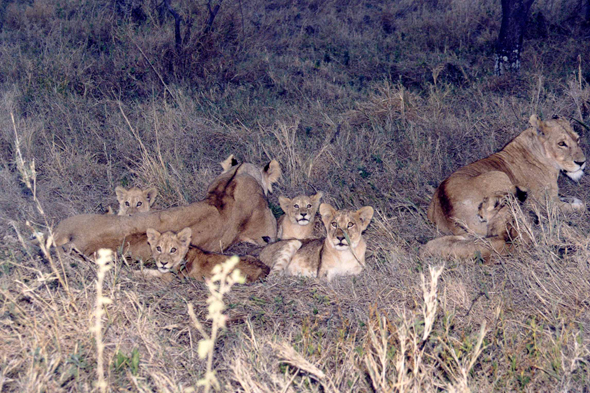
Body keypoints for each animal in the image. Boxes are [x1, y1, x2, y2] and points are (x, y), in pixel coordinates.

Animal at [135, 227, 270, 282]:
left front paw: (136, 273)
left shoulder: (174, 278)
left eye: (173, 250)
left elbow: (155, 273)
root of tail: (266, 269)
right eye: (158, 248)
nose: (163, 263)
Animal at [426, 115, 588, 258]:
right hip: (500, 176)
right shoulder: (546, 204)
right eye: (561, 143)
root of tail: (449, 215)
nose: (582, 162)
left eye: (577, 139)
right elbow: (582, 206)